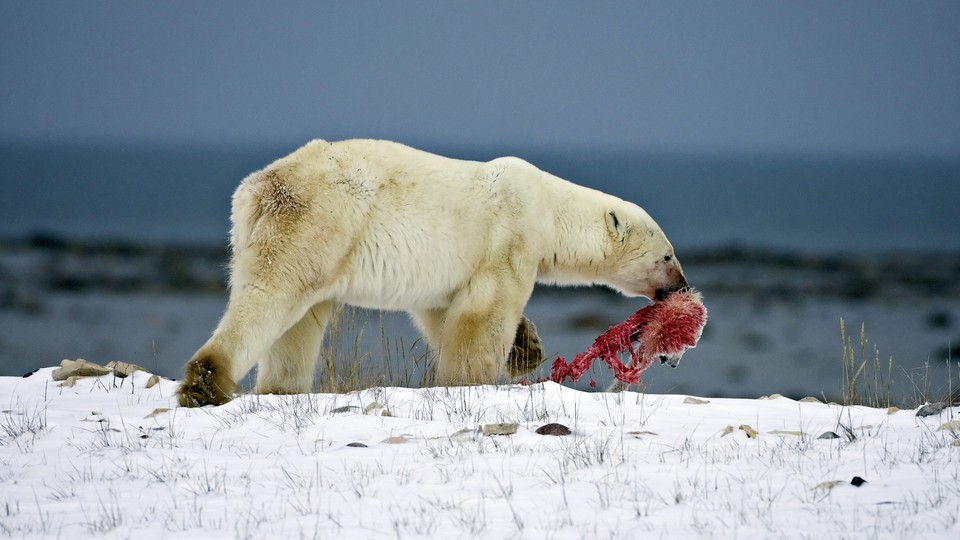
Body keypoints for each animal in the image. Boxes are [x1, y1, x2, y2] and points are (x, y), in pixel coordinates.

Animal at [178, 139, 688, 404]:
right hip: (320, 220)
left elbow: (442, 312)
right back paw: (206, 383)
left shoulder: (449, 270)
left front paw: (526, 347)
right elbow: (485, 313)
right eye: (667, 255)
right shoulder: (509, 235)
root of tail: (257, 189)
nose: (682, 285)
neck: (549, 207)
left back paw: (281, 389)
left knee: (299, 322)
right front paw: (475, 380)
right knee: (272, 295)